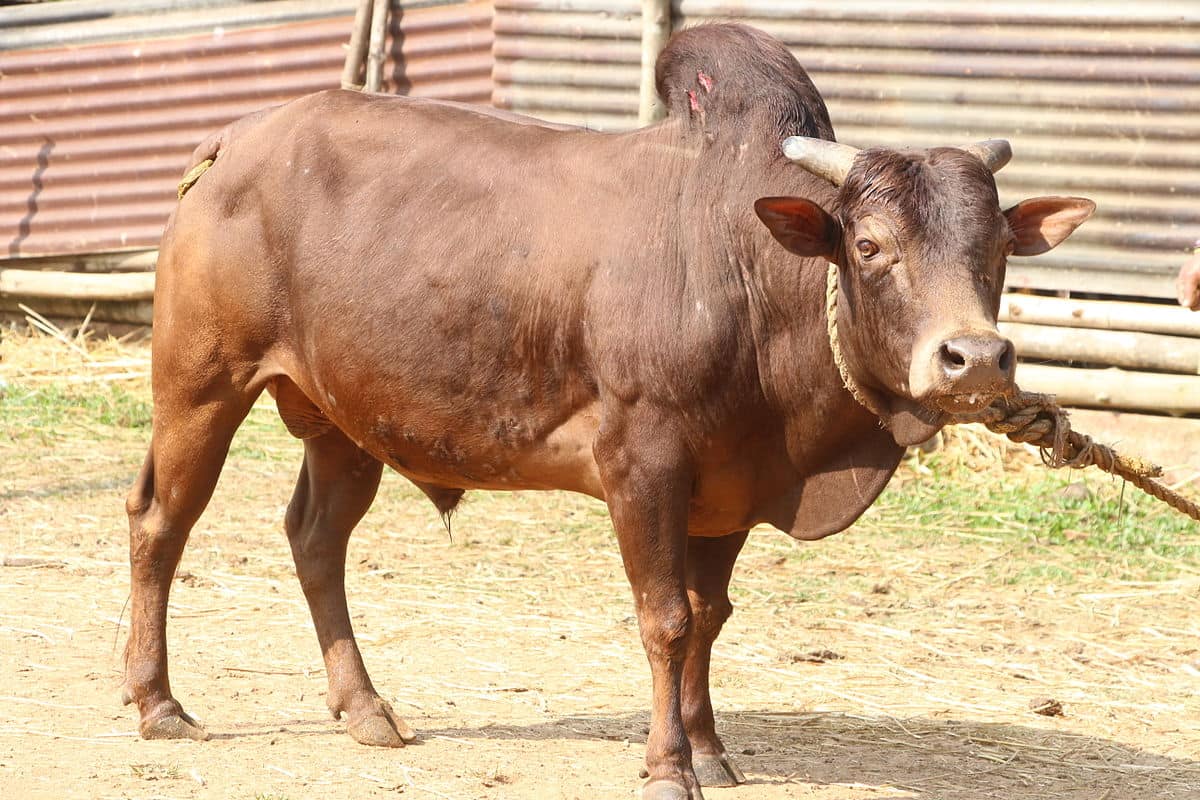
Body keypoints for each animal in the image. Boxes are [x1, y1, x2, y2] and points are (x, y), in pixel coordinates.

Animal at [124, 25, 1099, 800]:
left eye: (998, 247)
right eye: (868, 246)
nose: (975, 358)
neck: (746, 275)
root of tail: (234, 141)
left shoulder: (730, 488)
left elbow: (710, 614)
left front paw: (710, 750)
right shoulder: (644, 463)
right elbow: (666, 618)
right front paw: (668, 766)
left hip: (343, 419)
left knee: (316, 540)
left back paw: (365, 707)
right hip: (201, 383)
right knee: (161, 521)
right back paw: (158, 700)